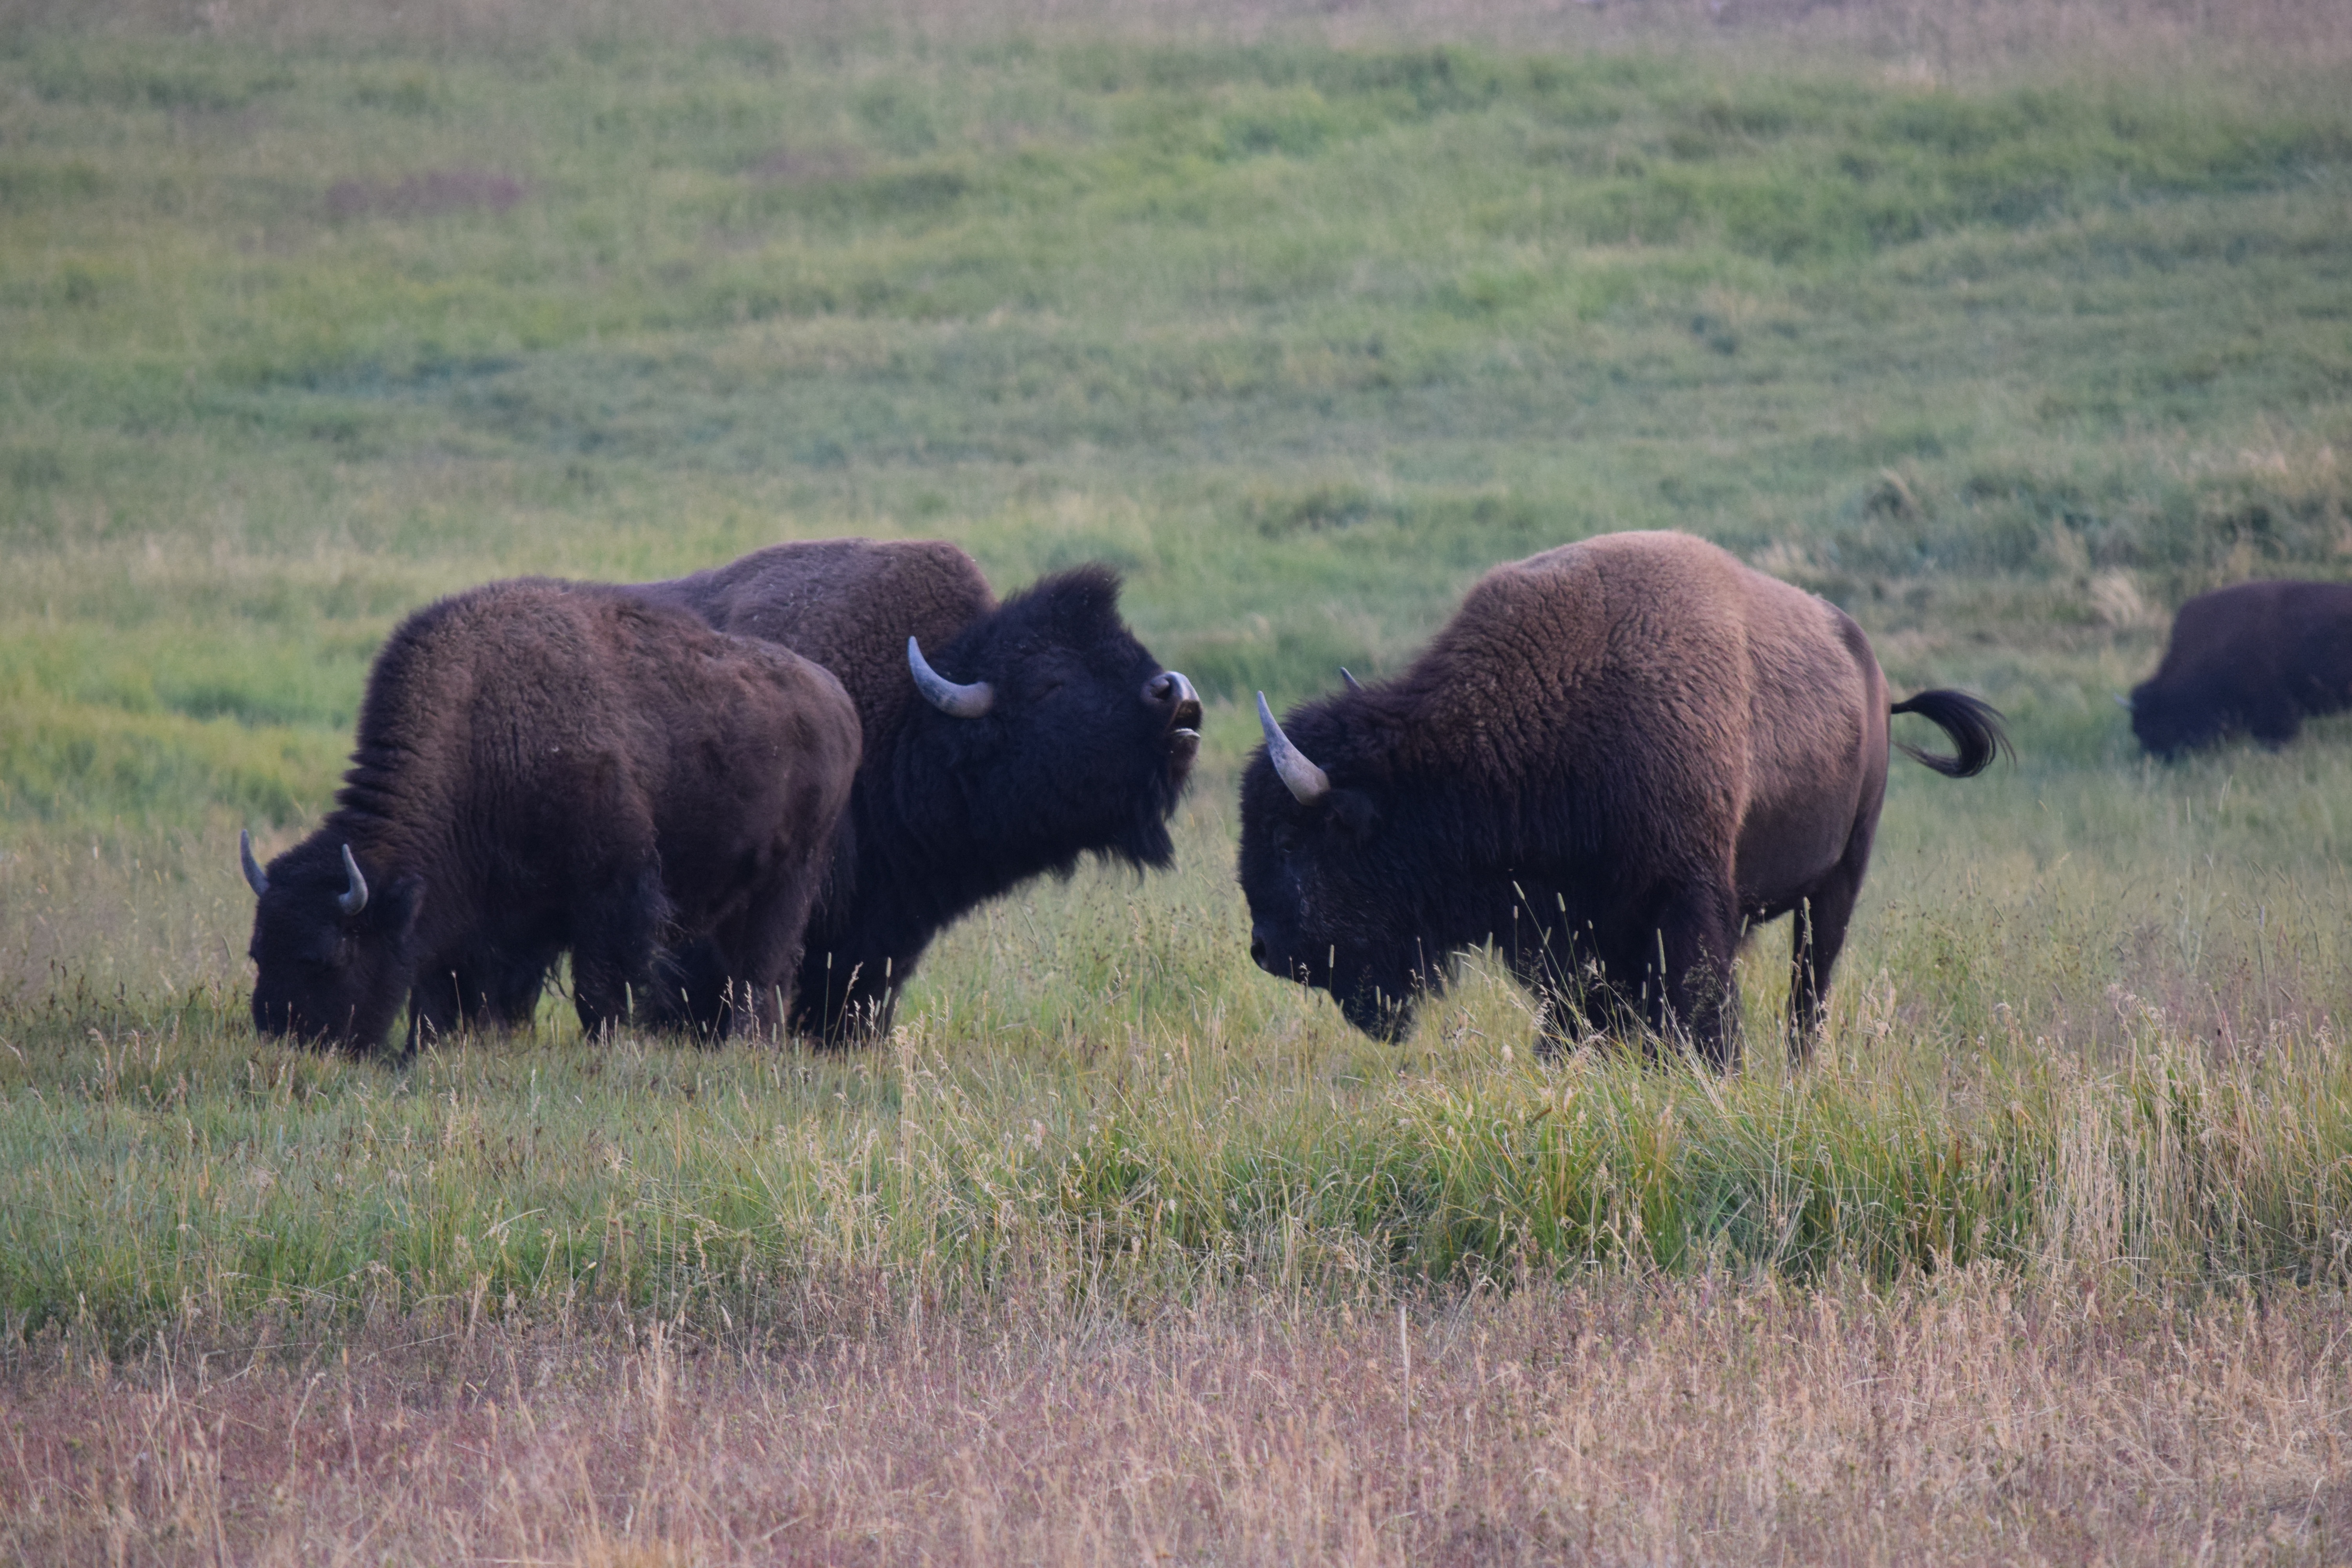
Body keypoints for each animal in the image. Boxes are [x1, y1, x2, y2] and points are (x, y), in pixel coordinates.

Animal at [241, 579, 860, 1054]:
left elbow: (598, 988)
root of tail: (836, 700)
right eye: (257, 951)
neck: (478, 731)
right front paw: (431, 1046)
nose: (280, 1040)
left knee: (761, 972)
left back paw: (746, 1045)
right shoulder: (478, 913)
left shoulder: (612, 894)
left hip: (788, 883)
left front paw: (602, 1046)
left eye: (324, 957)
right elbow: (445, 987)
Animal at [1240, 531, 2007, 1067]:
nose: (1265, 949)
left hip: (1839, 882)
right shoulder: (1570, 931)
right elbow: (1580, 1017)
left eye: (1290, 840)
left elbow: (1702, 1013)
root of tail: (1872, 677)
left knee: (1807, 997)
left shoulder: (1686, 902)